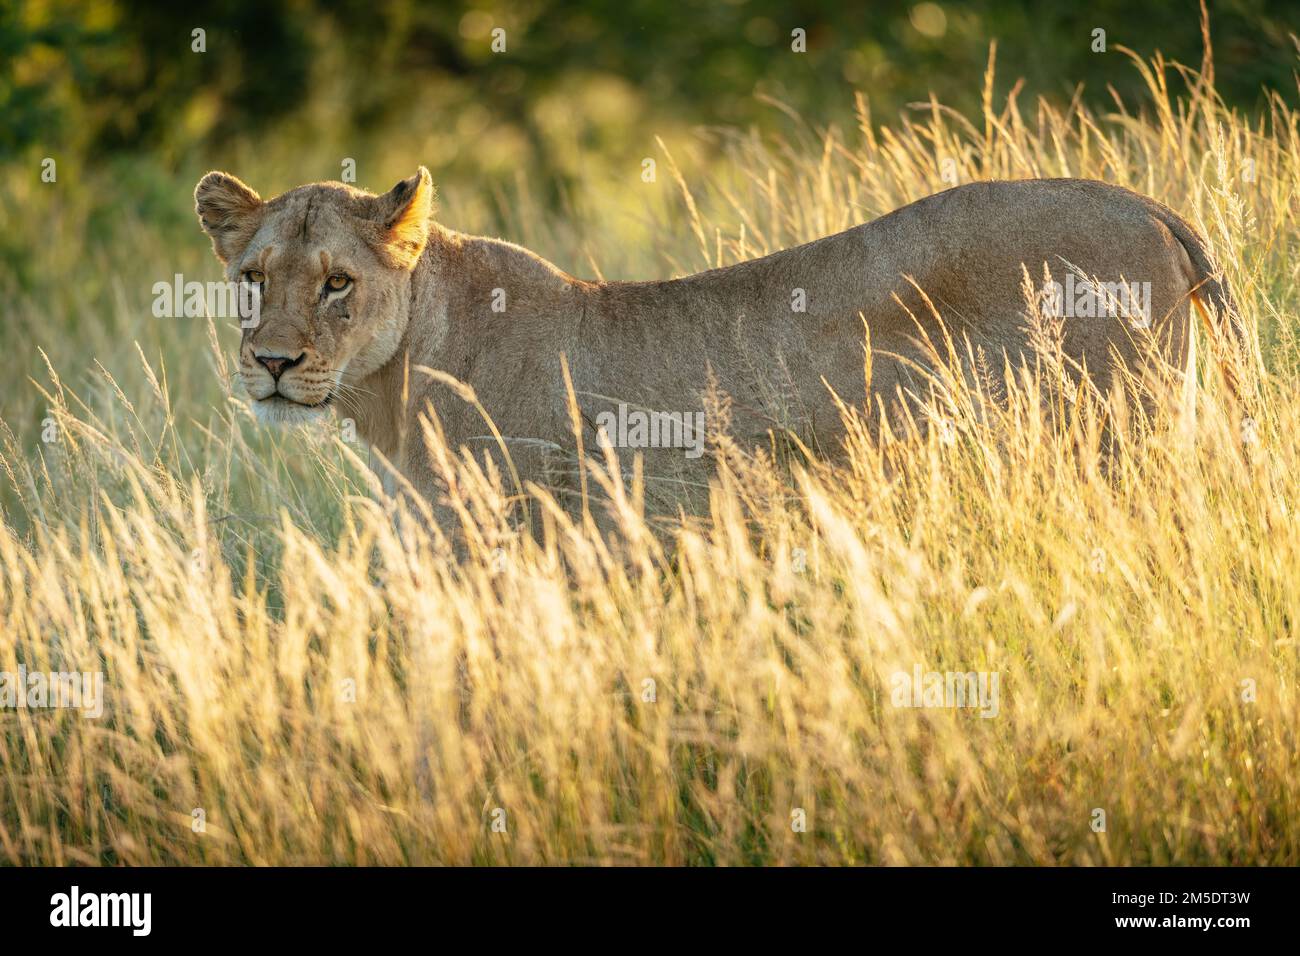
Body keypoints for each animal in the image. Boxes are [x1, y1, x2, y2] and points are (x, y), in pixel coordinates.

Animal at [195, 167, 1250, 526]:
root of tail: (1145, 202)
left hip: (1113, 448)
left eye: (337, 283)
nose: (273, 363)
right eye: (253, 277)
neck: (388, 389)